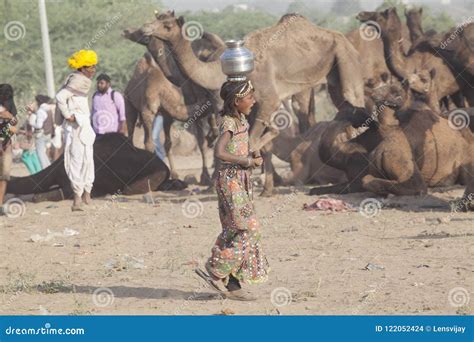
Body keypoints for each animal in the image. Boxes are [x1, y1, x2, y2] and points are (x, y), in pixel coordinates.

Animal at [135, 11, 364, 195]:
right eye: (157, 19)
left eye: (167, 25)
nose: (145, 28)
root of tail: (344, 38)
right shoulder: (252, 107)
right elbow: (261, 143)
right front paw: (266, 189)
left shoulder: (268, 99)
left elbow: (253, 140)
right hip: (333, 76)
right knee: (345, 108)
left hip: (346, 60)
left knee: (356, 105)